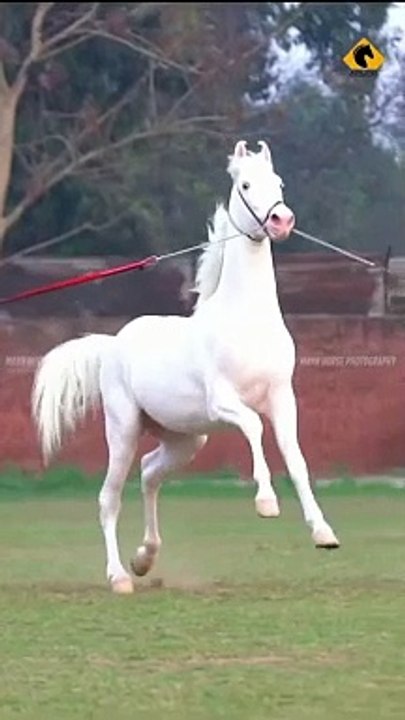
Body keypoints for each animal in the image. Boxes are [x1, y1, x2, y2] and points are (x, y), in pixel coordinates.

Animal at [32, 139, 340, 595]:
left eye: (278, 181)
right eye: (246, 185)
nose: (281, 220)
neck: (245, 319)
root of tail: (113, 344)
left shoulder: (283, 398)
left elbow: (296, 457)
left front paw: (323, 532)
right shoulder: (223, 402)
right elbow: (254, 427)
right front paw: (266, 503)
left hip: (185, 440)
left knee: (148, 474)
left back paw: (144, 558)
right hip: (124, 429)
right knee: (109, 497)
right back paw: (119, 577)